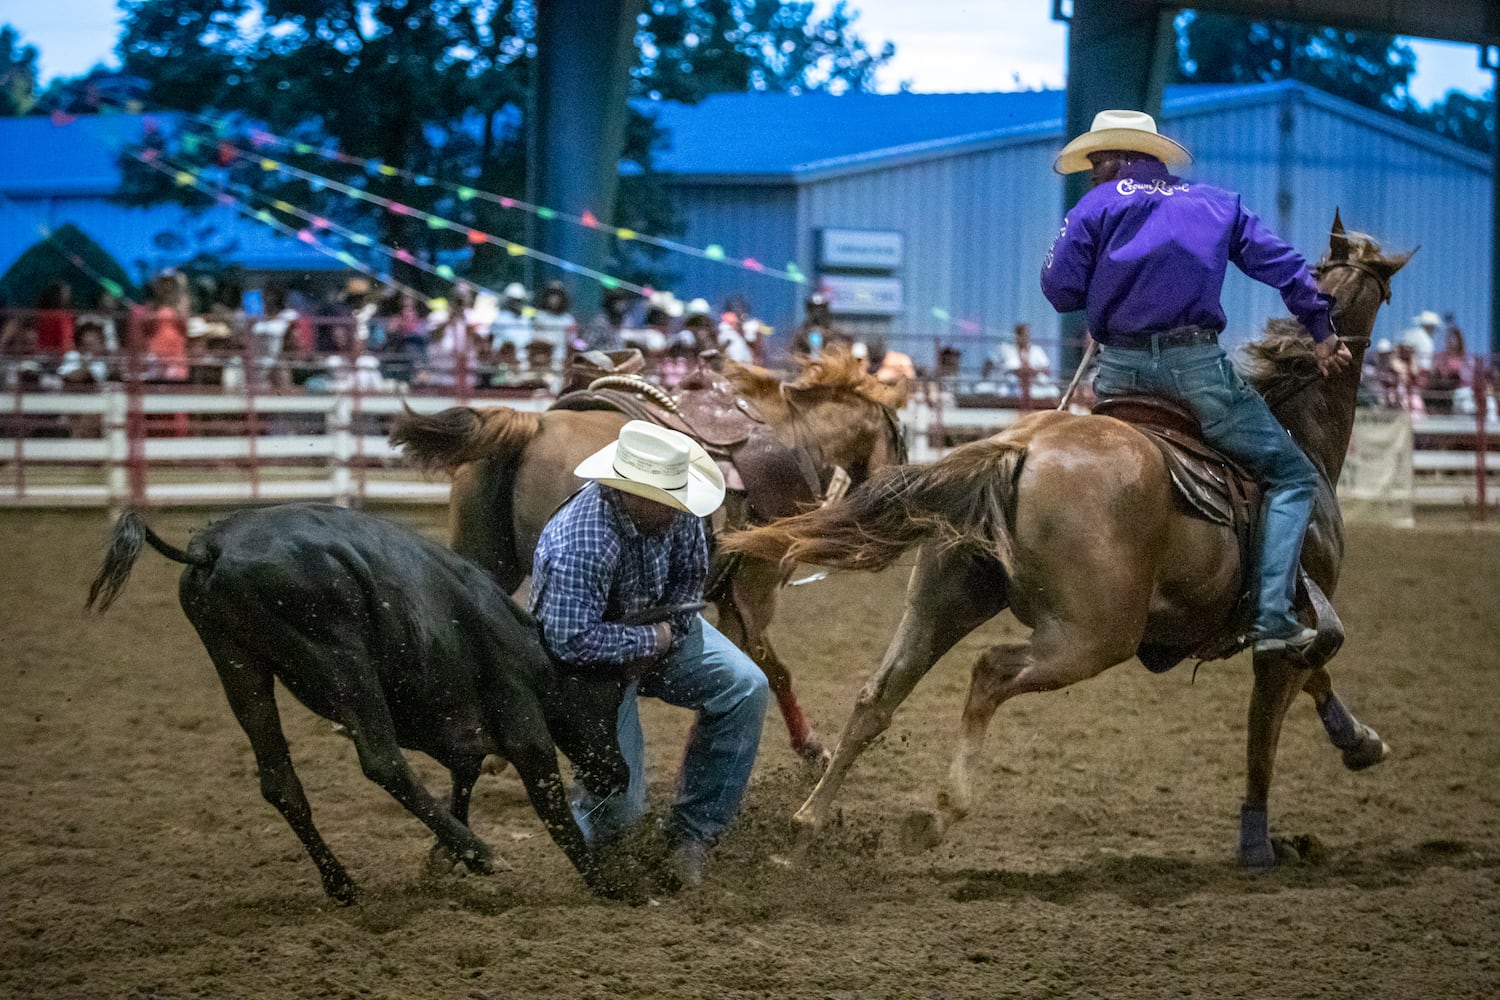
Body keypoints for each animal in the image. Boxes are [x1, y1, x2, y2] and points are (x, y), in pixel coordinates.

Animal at [393, 352, 900, 767]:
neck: (795, 434)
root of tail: (531, 426)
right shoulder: (752, 591)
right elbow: (773, 669)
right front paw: (809, 747)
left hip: (482, 558)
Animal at [726, 217, 1404, 869]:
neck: (1299, 437)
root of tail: (1019, 445)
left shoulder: (1291, 632)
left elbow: (1318, 676)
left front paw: (1362, 744)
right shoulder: (1284, 634)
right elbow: (1267, 732)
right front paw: (1260, 846)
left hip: (945, 598)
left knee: (879, 693)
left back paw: (806, 827)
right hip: (1092, 636)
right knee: (990, 672)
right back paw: (938, 813)